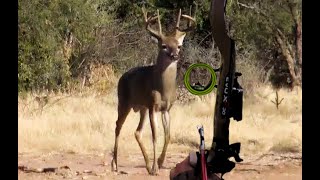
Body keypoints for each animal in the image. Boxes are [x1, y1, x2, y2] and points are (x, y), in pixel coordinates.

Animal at [110, 6, 195, 174]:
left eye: (179, 45)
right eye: (163, 46)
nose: (175, 55)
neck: (164, 89)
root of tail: (122, 77)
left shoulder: (166, 108)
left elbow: (168, 135)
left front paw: (160, 163)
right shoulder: (152, 106)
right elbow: (155, 136)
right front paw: (156, 168)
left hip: (141, 107)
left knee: (137, 132)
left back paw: (147, 164)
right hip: (124, 102)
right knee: (118, 125)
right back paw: (115, 164)